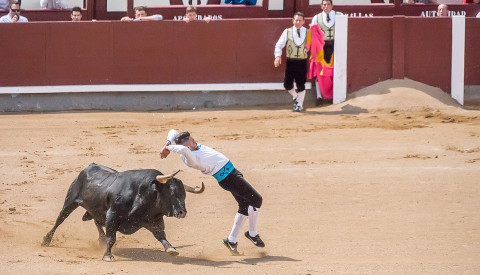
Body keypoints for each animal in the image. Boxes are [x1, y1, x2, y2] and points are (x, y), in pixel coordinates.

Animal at [41, 164, 204, 264]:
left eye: (184, 194)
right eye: (171, 192)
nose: (182, 212)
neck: (144, 193)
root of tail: (88, 167)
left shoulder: (154, 220)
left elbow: (161, 235)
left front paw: (171, 249)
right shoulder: (112, 215)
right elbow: (111, 238)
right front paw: (108, 256)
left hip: (97, 210)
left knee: (96, 221)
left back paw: (100, 240)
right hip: (70, 201)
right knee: (60, 219)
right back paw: (46, 240)